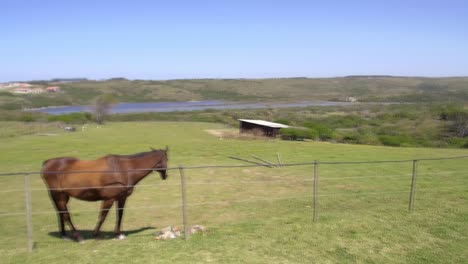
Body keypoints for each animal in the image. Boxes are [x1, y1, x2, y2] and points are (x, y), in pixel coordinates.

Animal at [40, 146, 168, 241]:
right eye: (166, 159)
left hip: (62, 196)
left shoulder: (121, 198)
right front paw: (96, 234)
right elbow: (103, 216)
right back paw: (77, 237)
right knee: (66, 215)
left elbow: (120, 214)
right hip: (59, 195)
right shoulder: (109, 199)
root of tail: (48, 163)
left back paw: (64, 235)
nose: (165, 175)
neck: (122, 169)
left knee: (60, 213)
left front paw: (118, 234)